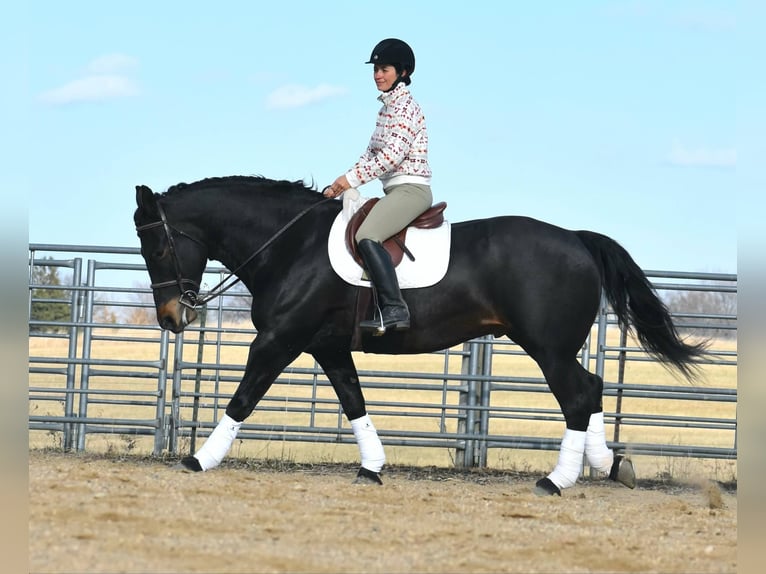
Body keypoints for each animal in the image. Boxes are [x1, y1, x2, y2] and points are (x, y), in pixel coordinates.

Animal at [134, 175, 707, 496]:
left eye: (157, 247)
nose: (171, 317)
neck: (291, 245)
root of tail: (577, 239)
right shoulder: (327, 346)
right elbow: (354, 402)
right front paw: (372, 468)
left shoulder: (279, 340)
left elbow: (243, 398)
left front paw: (199, 459)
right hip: (553, 348)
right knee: (591, 391)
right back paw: (611, 466)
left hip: (548, 348)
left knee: (581, 394)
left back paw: (557, 480)